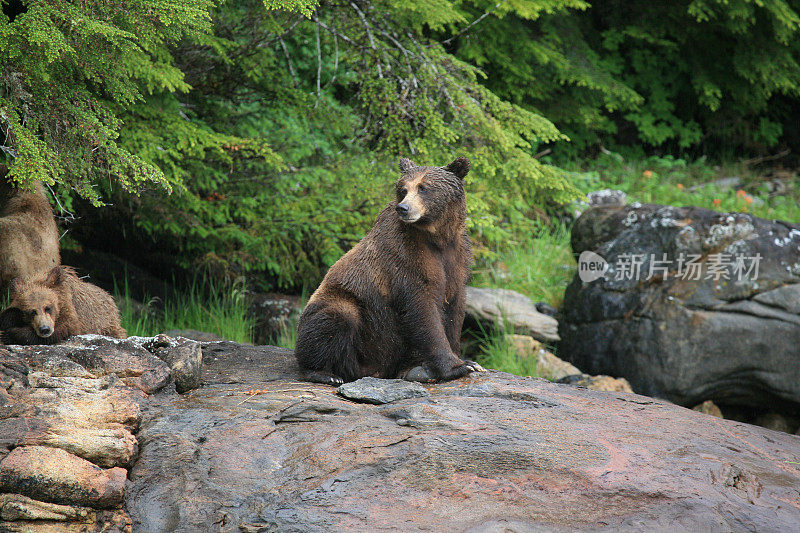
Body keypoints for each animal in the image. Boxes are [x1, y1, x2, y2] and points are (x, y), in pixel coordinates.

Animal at [292, 154, 482, 382]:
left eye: (423, 187)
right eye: (404, 188)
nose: (404, 208)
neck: (436, 236)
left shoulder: (457, 257)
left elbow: (455, 308)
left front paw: (468, 360)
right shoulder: (406, 257)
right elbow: (423, 309)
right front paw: (457, 367)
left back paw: (416, 370)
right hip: (356, 323)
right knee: (334, 319)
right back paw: (324, 373)